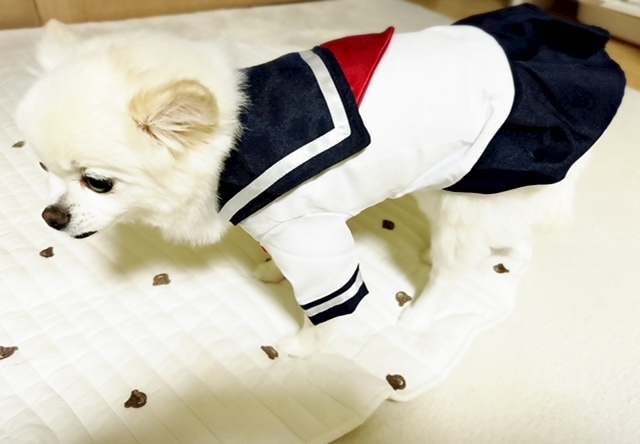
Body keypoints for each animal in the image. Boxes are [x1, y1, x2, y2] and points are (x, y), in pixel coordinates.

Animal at [15, 5, 625, 356]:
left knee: (458, 270)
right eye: (43, 170)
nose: (51, 217)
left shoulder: (313, 239)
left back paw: (420, 314)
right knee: (514, 227)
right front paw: (267, 268)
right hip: (465, 182)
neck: (237, 140)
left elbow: (328, 306)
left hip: (474, 193)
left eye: (98, 183)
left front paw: (309, 349)